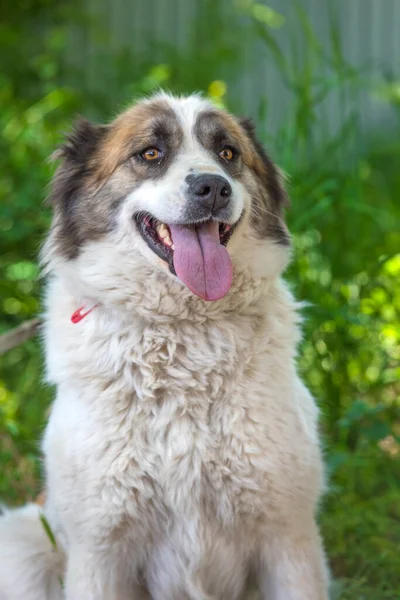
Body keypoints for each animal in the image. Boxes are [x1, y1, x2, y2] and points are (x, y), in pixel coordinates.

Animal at [0, 94, 328, 600]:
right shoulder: (100, 551)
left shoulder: (289, 540)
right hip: (23, 545)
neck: (181, 331)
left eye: (228, 153)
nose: (213, 188)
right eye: (150, 153)